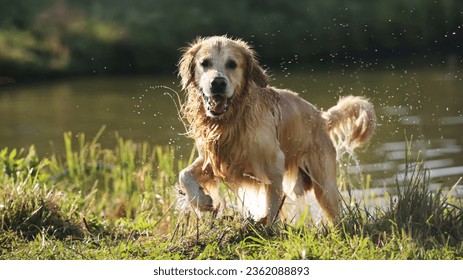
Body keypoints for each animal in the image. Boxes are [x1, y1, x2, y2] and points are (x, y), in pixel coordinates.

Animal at [178, 36, 376, 225]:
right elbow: (184, 174)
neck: (233, 120)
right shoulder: (217, 158)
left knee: (335, 213)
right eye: (205, 63)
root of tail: (321, 117)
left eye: (232, 64)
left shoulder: (273, 165)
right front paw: (201, 200)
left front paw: (269, 229)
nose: (217, 83)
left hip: (324, 184)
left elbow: (272, 207)